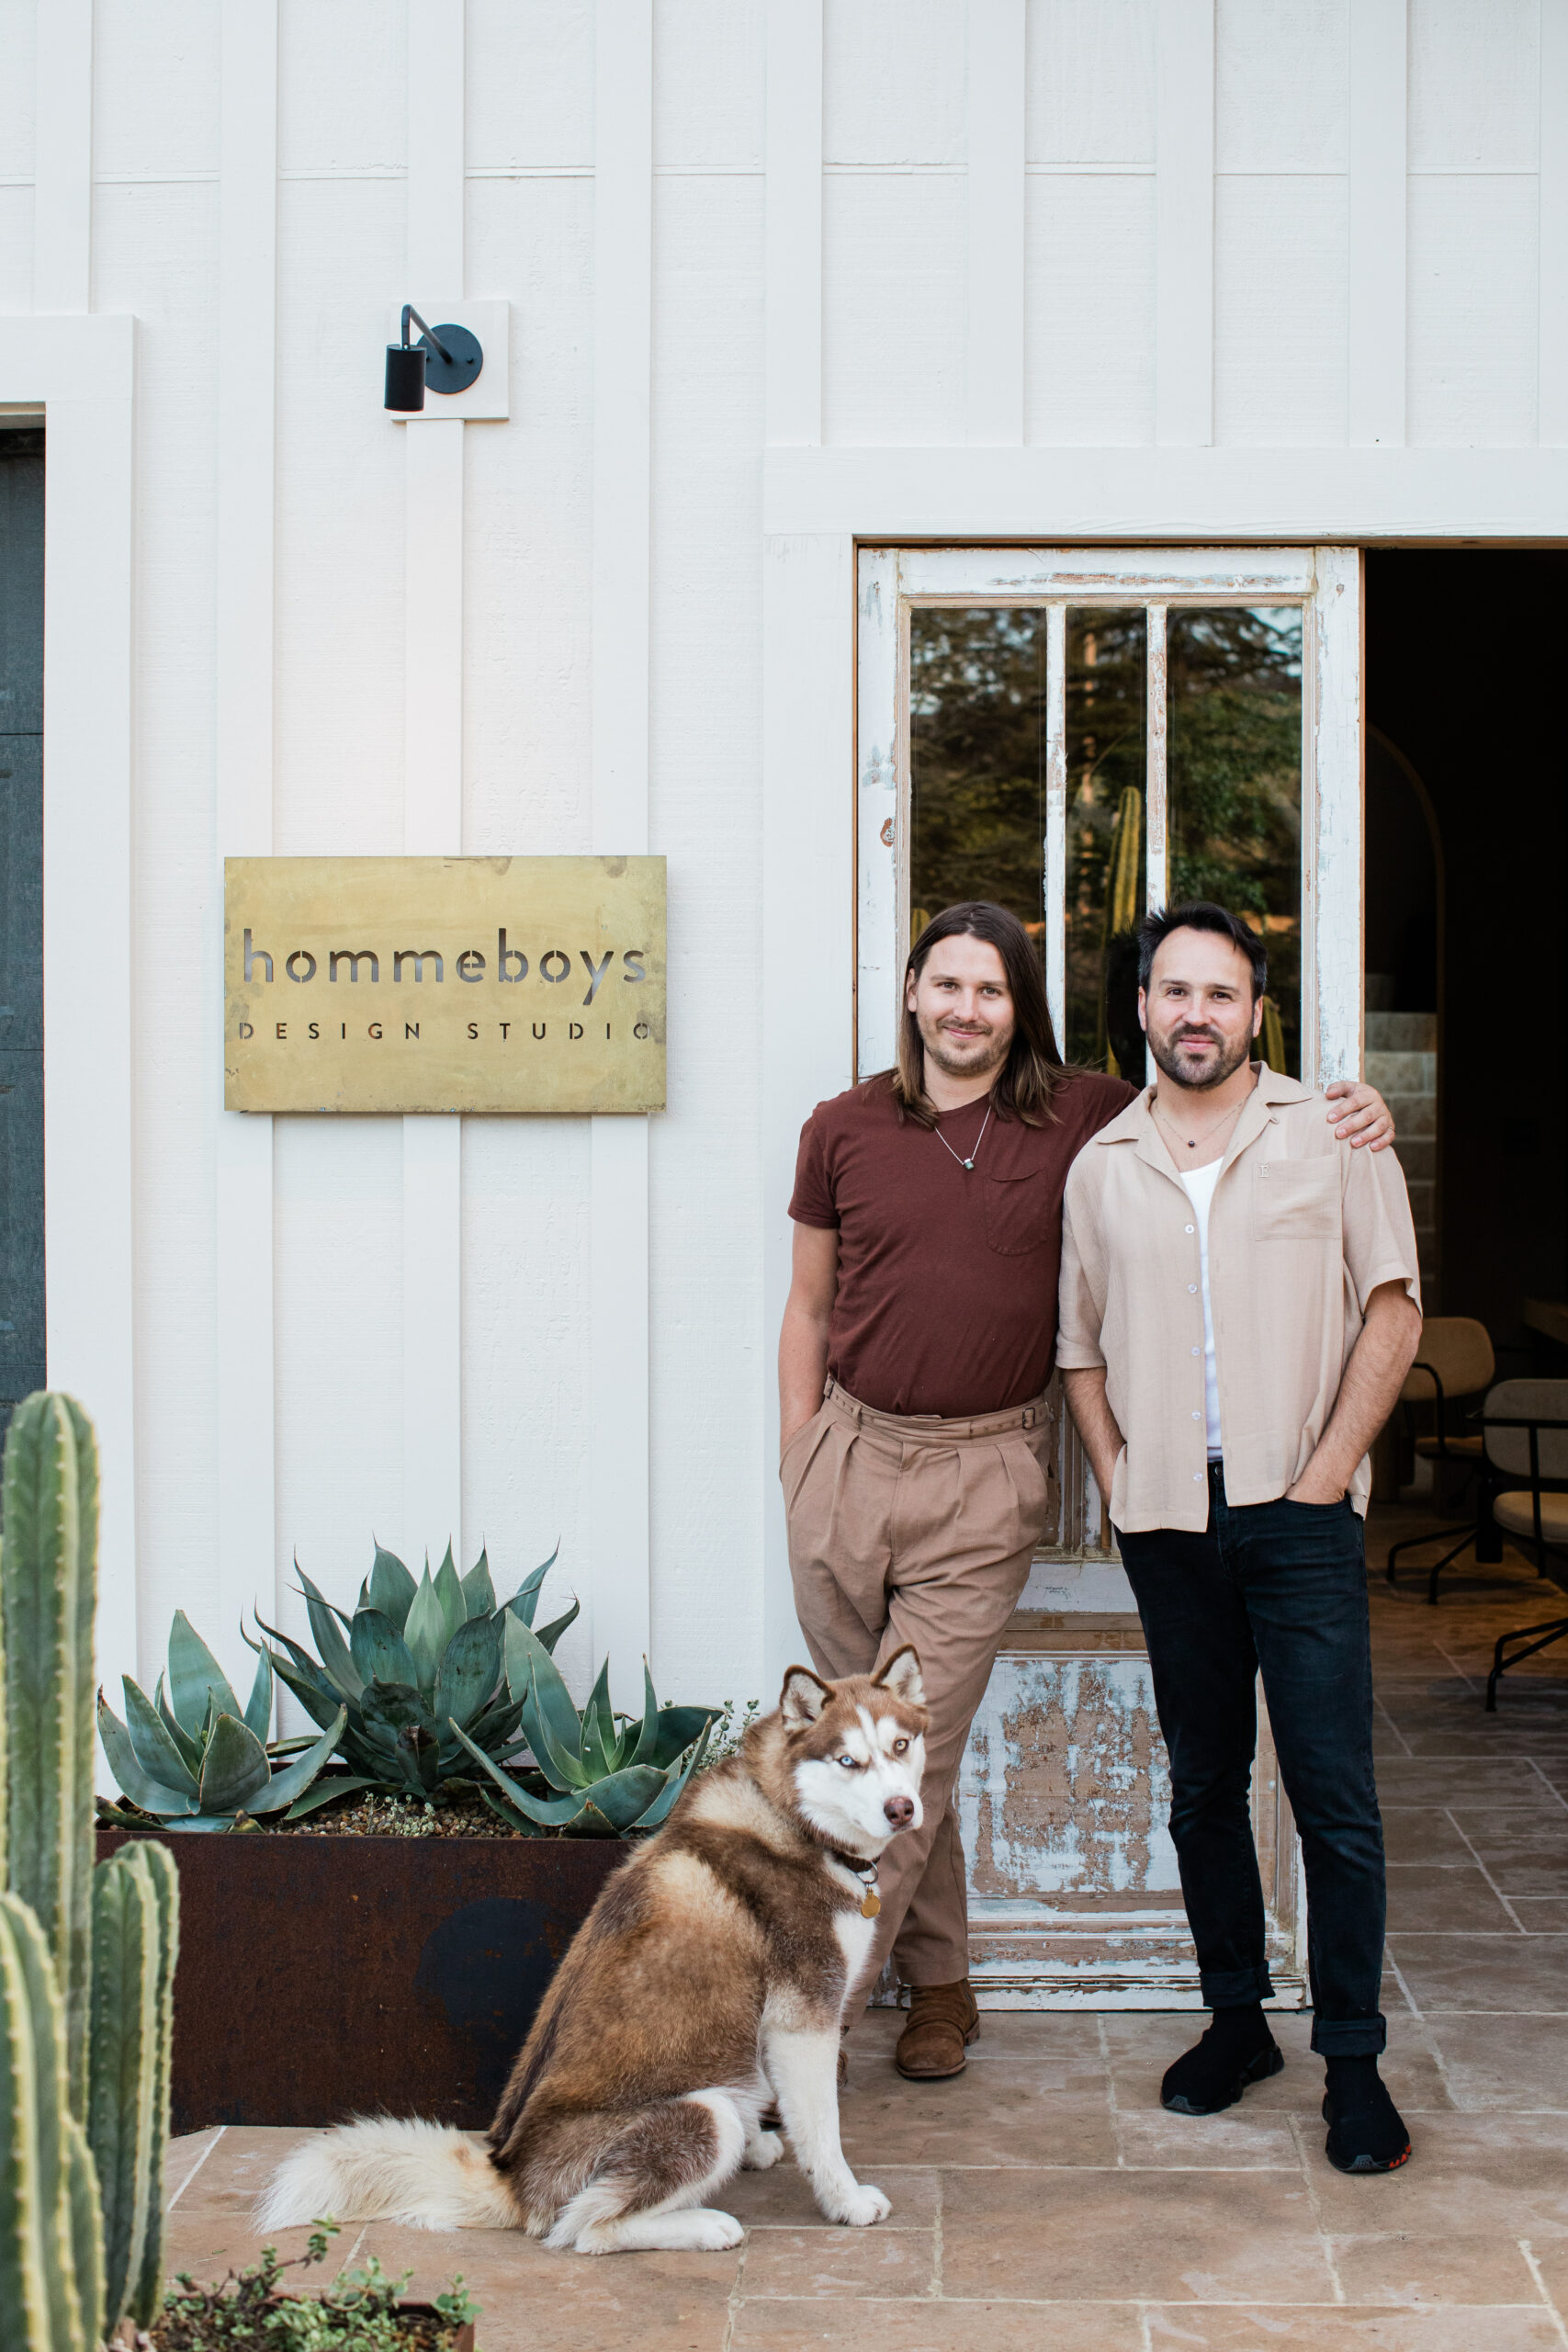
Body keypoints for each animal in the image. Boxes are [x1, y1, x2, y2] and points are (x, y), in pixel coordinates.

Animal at [261, 1646, 931, 2248]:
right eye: (847, 1760)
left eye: (900, 1747)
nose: (901, 1809)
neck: (790, 1817)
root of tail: (512, 2177)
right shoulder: (804, 2016)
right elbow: (822, 2131)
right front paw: (845, 2201)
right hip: (702, 2113)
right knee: (585, 2229)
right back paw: (705, 2225)